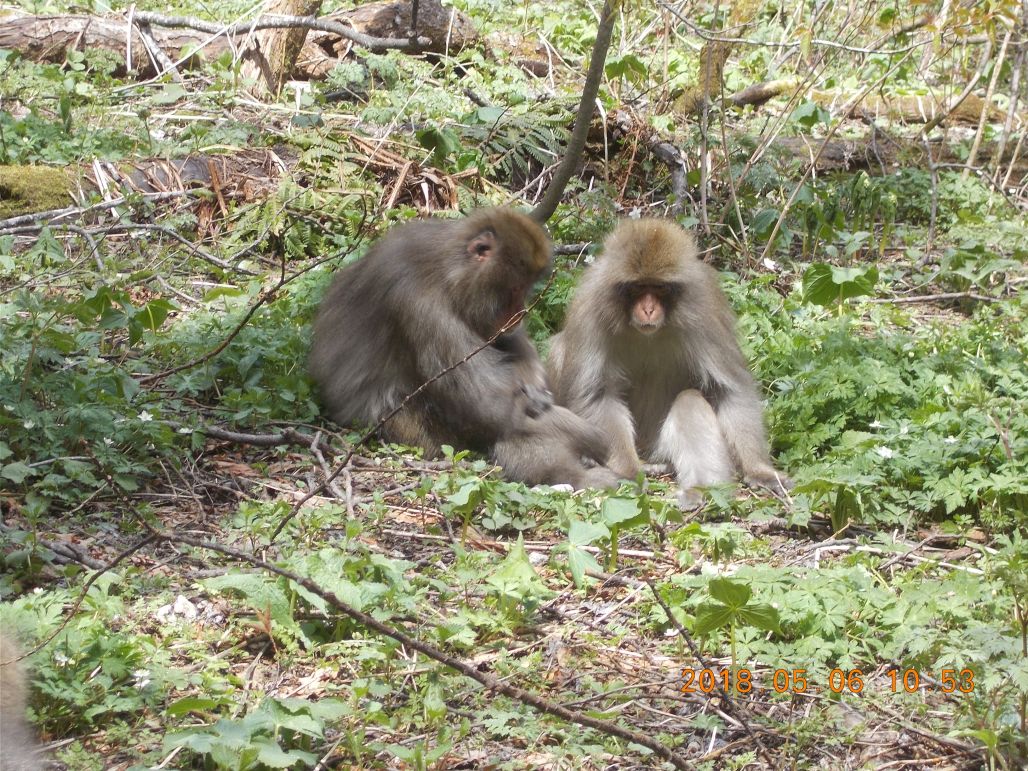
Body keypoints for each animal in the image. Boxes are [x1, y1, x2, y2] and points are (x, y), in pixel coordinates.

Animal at [308, 206, 616, 489]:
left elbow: (511, 347)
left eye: (526, 288)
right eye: (515, 289)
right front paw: (594, 438)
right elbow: (491, 407)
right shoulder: (421, 305)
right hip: (413, 432)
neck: (448, 273)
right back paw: (575, 476)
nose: (520, 313)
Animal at [551, 218, 789, 507]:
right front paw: (629, 473)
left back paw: (699, 489)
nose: (648, 309)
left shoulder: (704, 306)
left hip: (658, 448)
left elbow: (729, 390)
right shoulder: (591, 306)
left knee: (689, 400)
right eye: (638, 288)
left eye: (660, 288)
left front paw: (759, 469)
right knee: (558, 349)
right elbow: (597, 394)